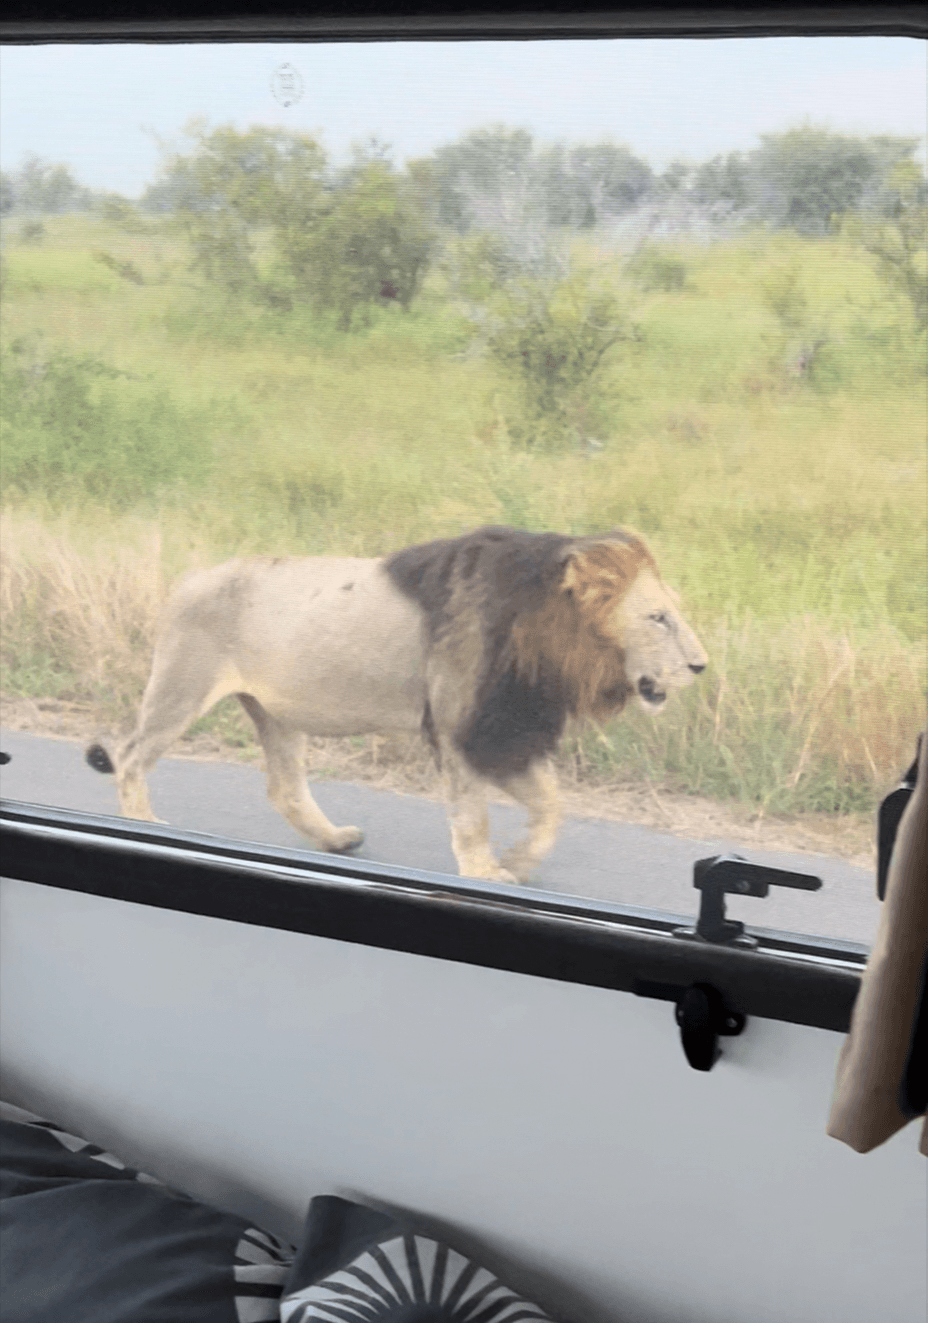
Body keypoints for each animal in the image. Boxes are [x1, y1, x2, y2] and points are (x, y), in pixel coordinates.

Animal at [86, 526, 707, 884]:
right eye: (658, 618)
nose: (701, 666)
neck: (546, 637)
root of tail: (187, 579)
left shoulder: (503, 731)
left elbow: (552, 806)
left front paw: (517, 861)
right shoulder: (462, 727)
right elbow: (473, 816)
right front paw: (484, 873)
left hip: (275, 712)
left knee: (284, 787)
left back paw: (335, 840)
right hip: (181, 688)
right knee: (132, 755)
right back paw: (142, 823)